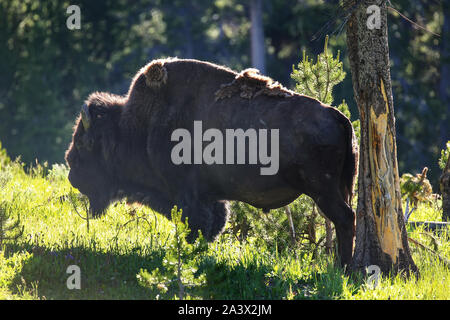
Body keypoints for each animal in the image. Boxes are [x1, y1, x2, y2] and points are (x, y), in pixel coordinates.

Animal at [64, 58, 358, 266]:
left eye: (84, 143)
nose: (72, 174)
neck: (137, 125)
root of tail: (338, 117)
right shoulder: (210, 197)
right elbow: (214, 224)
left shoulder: (187, 195)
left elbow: (196, 225)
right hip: (338, 187)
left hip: (323, 189)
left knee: (345, 219)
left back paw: (342, 268)